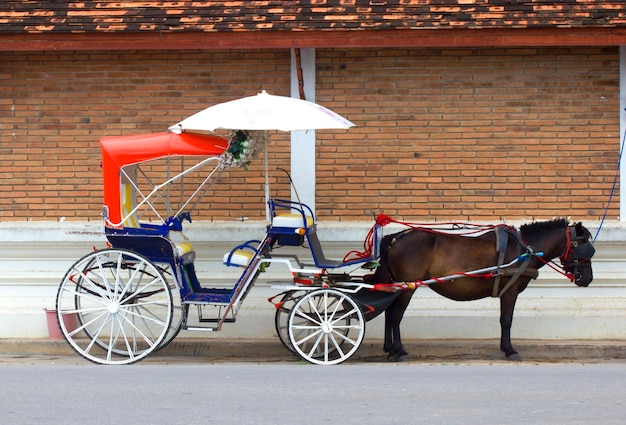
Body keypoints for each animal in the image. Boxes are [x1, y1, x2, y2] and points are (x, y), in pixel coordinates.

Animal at [372, 219, 592, 362]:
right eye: (582, 246)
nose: (588, 279)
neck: (524, 250)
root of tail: (396, 238)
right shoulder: (510, 290)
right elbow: (506, 320)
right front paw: (510, 350)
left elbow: (504, 320)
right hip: (408, 286)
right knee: (396, 316)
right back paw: (400, 351)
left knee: (389, 313)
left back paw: (390, 350)